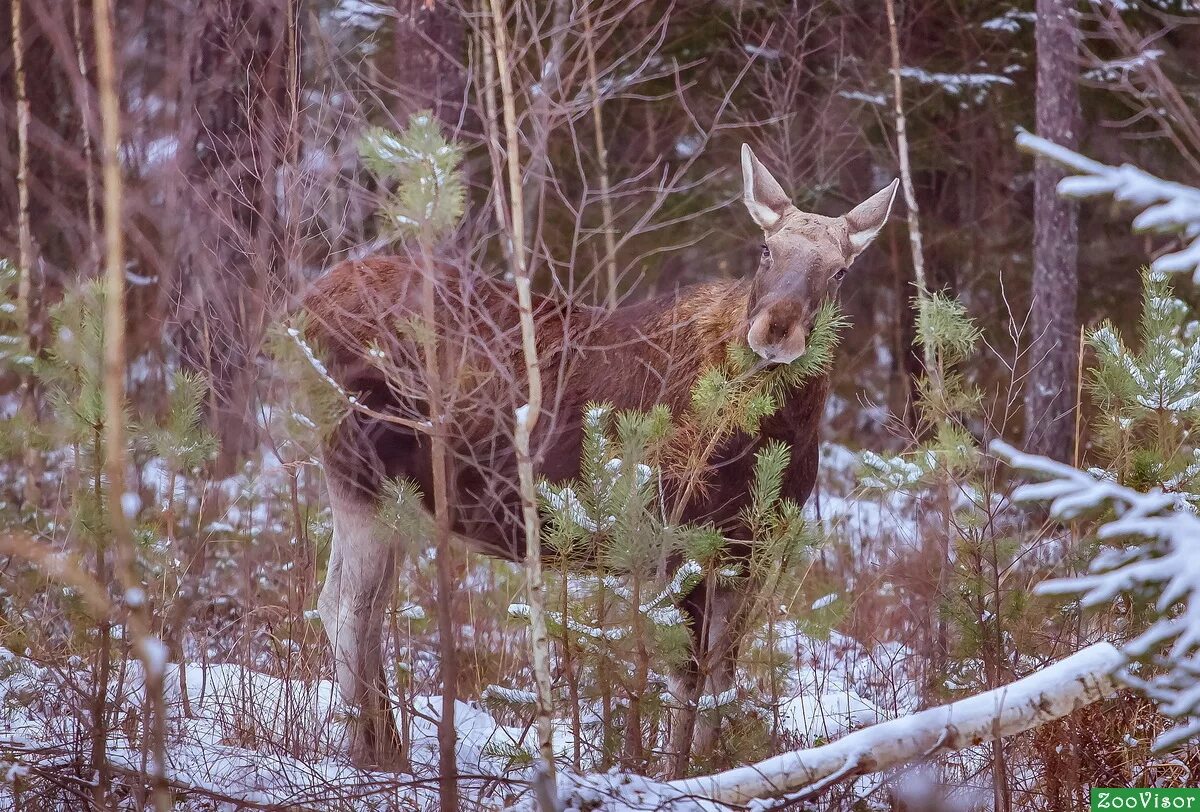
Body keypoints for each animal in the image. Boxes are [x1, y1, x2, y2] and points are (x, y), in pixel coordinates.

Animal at [304, 145, 897, 767]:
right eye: (766, 249)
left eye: (839, 271)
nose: (776, 329)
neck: (776, 432)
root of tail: (307, 301)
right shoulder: (678, 543)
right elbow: (685, 680)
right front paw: (674, 772)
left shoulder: (747, 554)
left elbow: (720, 680)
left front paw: (708, 765)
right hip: (359, 474)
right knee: (348, 609)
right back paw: (375, 753)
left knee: (350, 607)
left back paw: (381, 746)